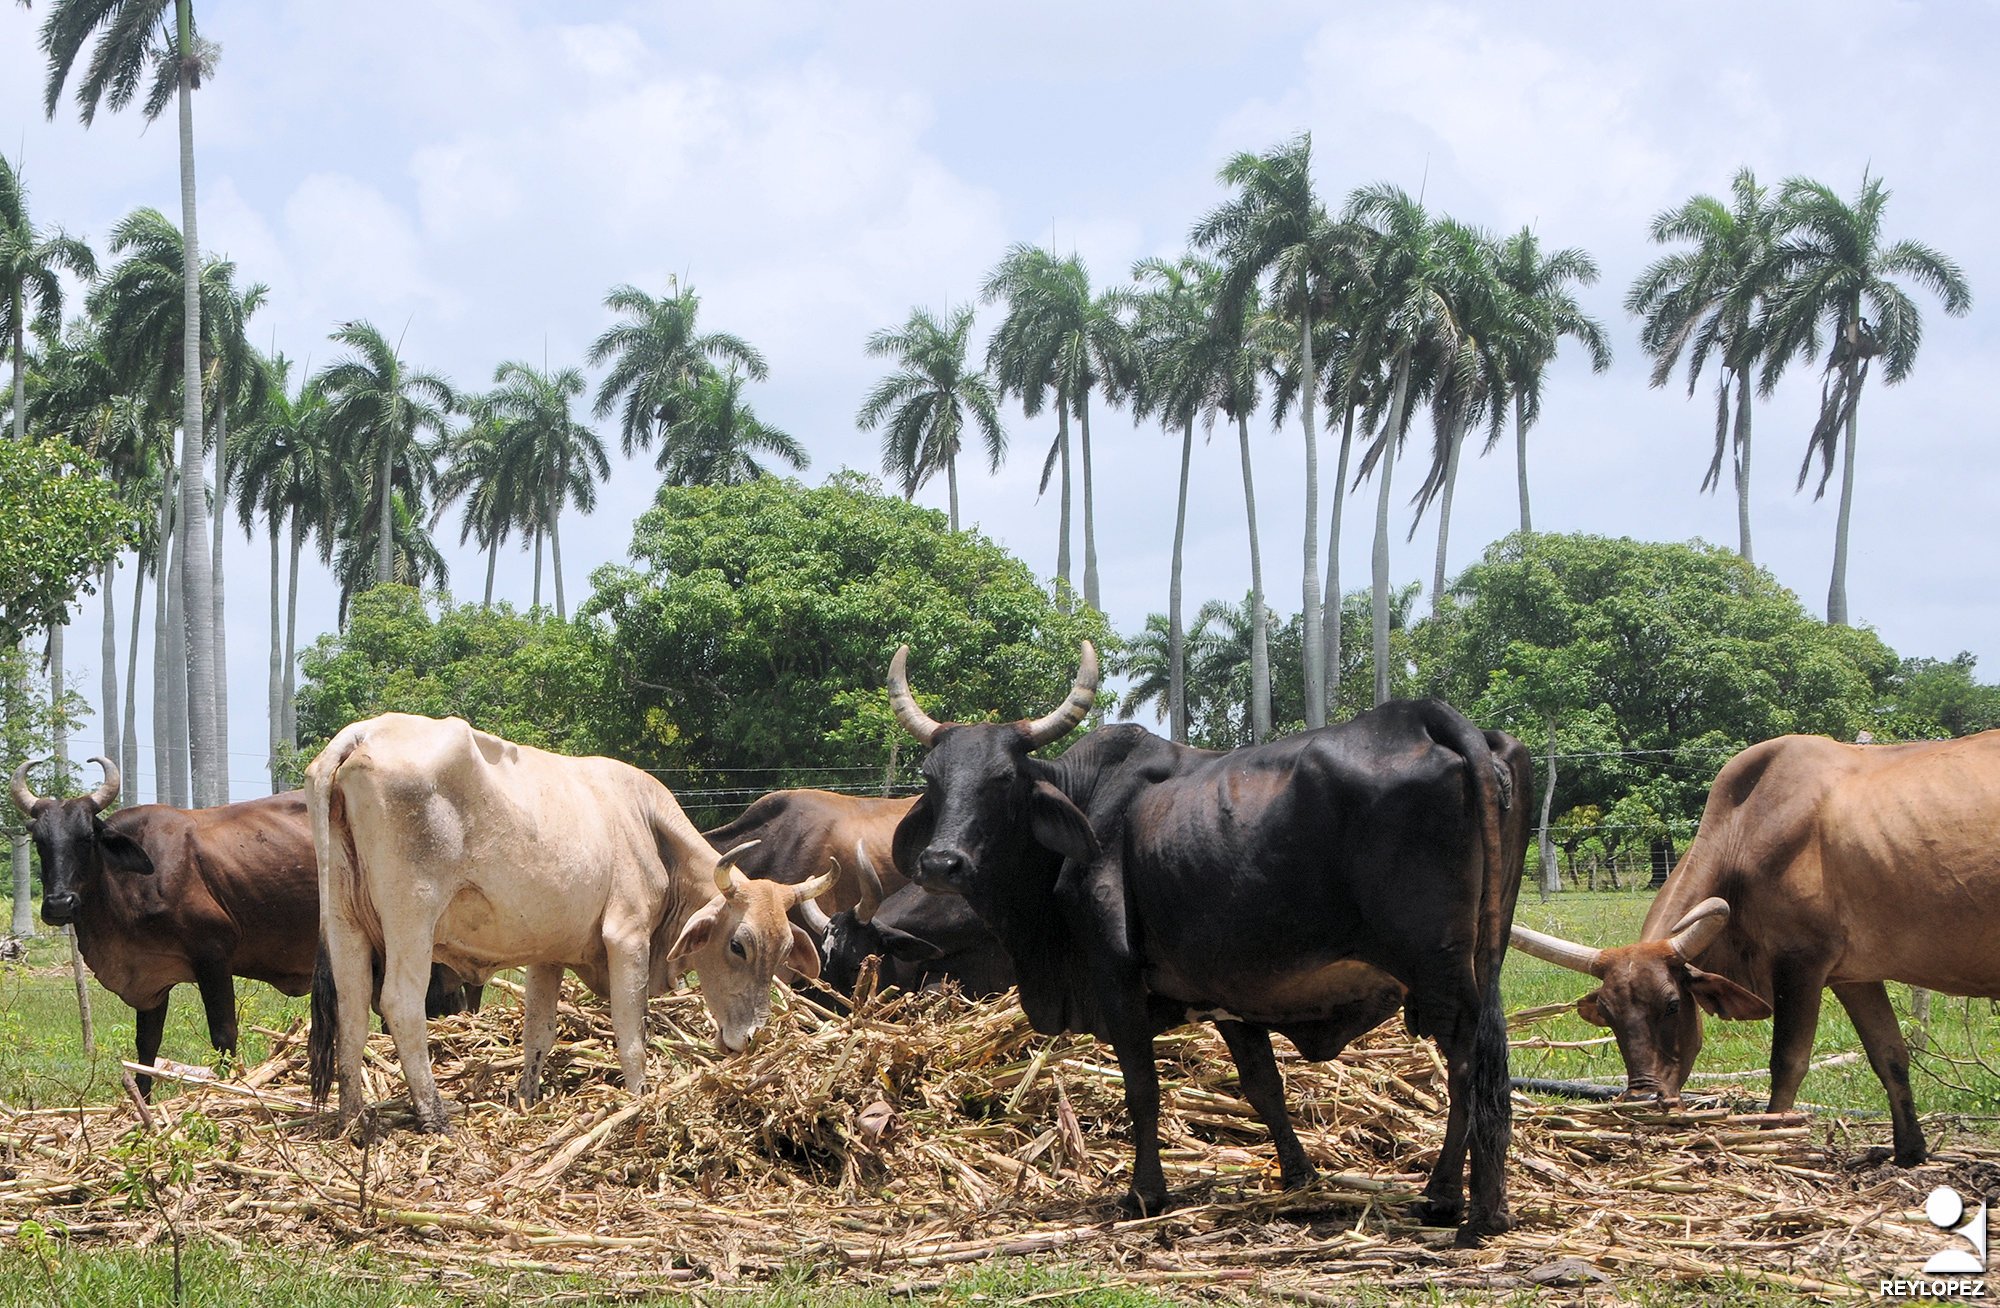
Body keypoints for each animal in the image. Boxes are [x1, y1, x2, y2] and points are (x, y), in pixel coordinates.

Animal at [9, 760, 474, 1096]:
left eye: (87, 837)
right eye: (40, 842)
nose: (59, 904)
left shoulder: (213, 956)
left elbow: (223, 1033)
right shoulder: (150, 978)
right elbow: (146, 1047)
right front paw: (143, 1102)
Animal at [298, 712, 828, 1136]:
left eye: (784, 951)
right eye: (738, 946)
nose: (750, 1039)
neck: (648, 826)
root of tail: (362, 733)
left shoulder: (547, 955)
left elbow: (539, 1033)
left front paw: (527, 1100)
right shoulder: (627, 938)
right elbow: (631, 1035)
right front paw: (640, 1100)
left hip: (344, 919)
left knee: (350, 1006)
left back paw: (352, 1119)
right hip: (413, 917)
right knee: (400, 1005)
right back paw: (435, 1116)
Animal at [892, 644, 1528, 1248]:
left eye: (1004, 779)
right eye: (933, 781)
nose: (941, 862)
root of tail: (1427, 717)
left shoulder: (1117, 980)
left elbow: (1142, 1089)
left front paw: (1145, 1193)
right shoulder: (1229, 994)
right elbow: (1264, 1087)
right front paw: (1300, 1178)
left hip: (1437, 969)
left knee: (1466, 1066)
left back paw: (1454, 1201)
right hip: (1483, 955)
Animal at [1504, 732, 2000, 1176]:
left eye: (1672, 1004)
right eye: (1607, 1013)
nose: (1643, 1098)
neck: (1745, 830)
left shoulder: (1801, 964)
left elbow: (1788, 1061)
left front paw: (1771, 1138)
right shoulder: (1854, 977)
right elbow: (1890, 1055)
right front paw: (1910, 1151)